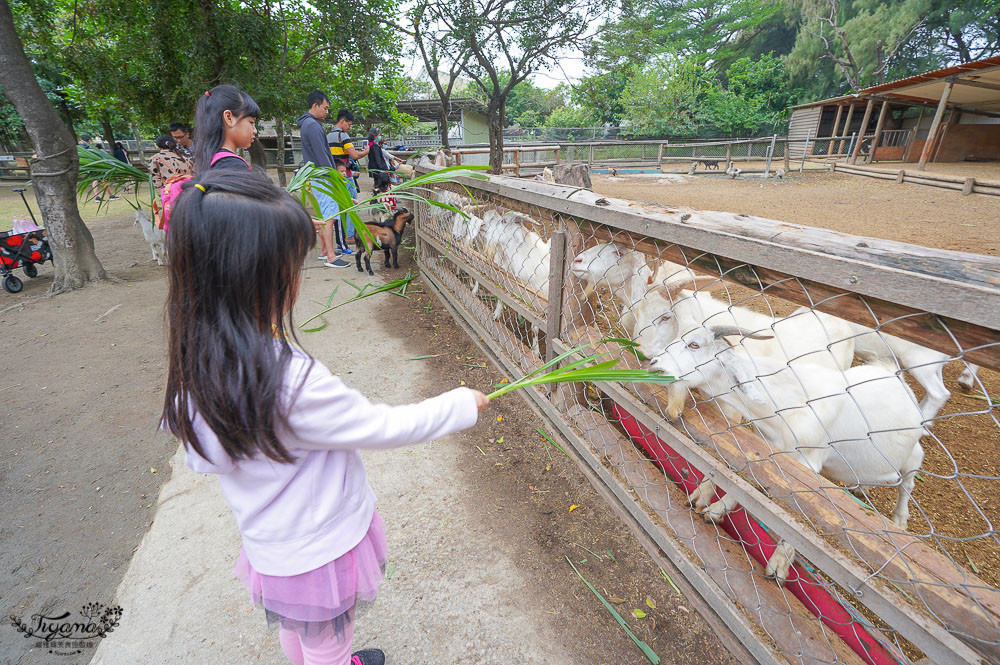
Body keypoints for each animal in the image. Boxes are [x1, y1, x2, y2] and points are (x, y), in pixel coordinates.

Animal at [652, 324, 924, 584]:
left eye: (694, 344)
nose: (653, 362)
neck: (788, 403)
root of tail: (893, 374)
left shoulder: (807, 464)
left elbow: (797, 514)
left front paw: (779, 565)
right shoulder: (769, 451)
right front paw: (713, 508)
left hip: (912, 453)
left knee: (908, 480)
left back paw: (900, 519)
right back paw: (862, 488)